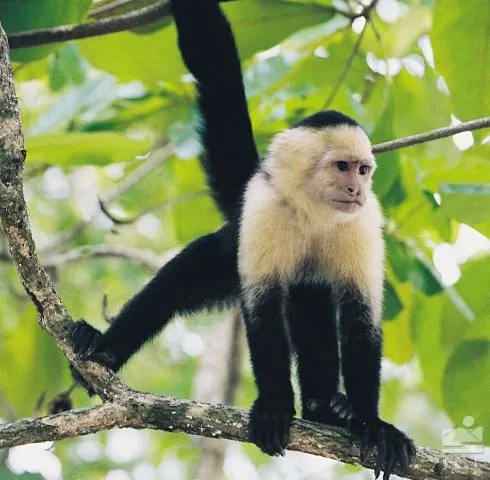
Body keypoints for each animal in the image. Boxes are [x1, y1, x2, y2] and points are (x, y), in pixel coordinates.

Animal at [72, 0, 414, 476]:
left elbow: (361, 321)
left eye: (364, 170)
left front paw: (371, 424)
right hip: (228, 245)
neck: (313, 212)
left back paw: (327, 409)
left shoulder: (364, 224)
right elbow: (263, 312)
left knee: (314, 302)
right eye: (342, 167)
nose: (356, 190)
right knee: (181, 280)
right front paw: (274, 408)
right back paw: (102, 349)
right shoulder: (263, 211)